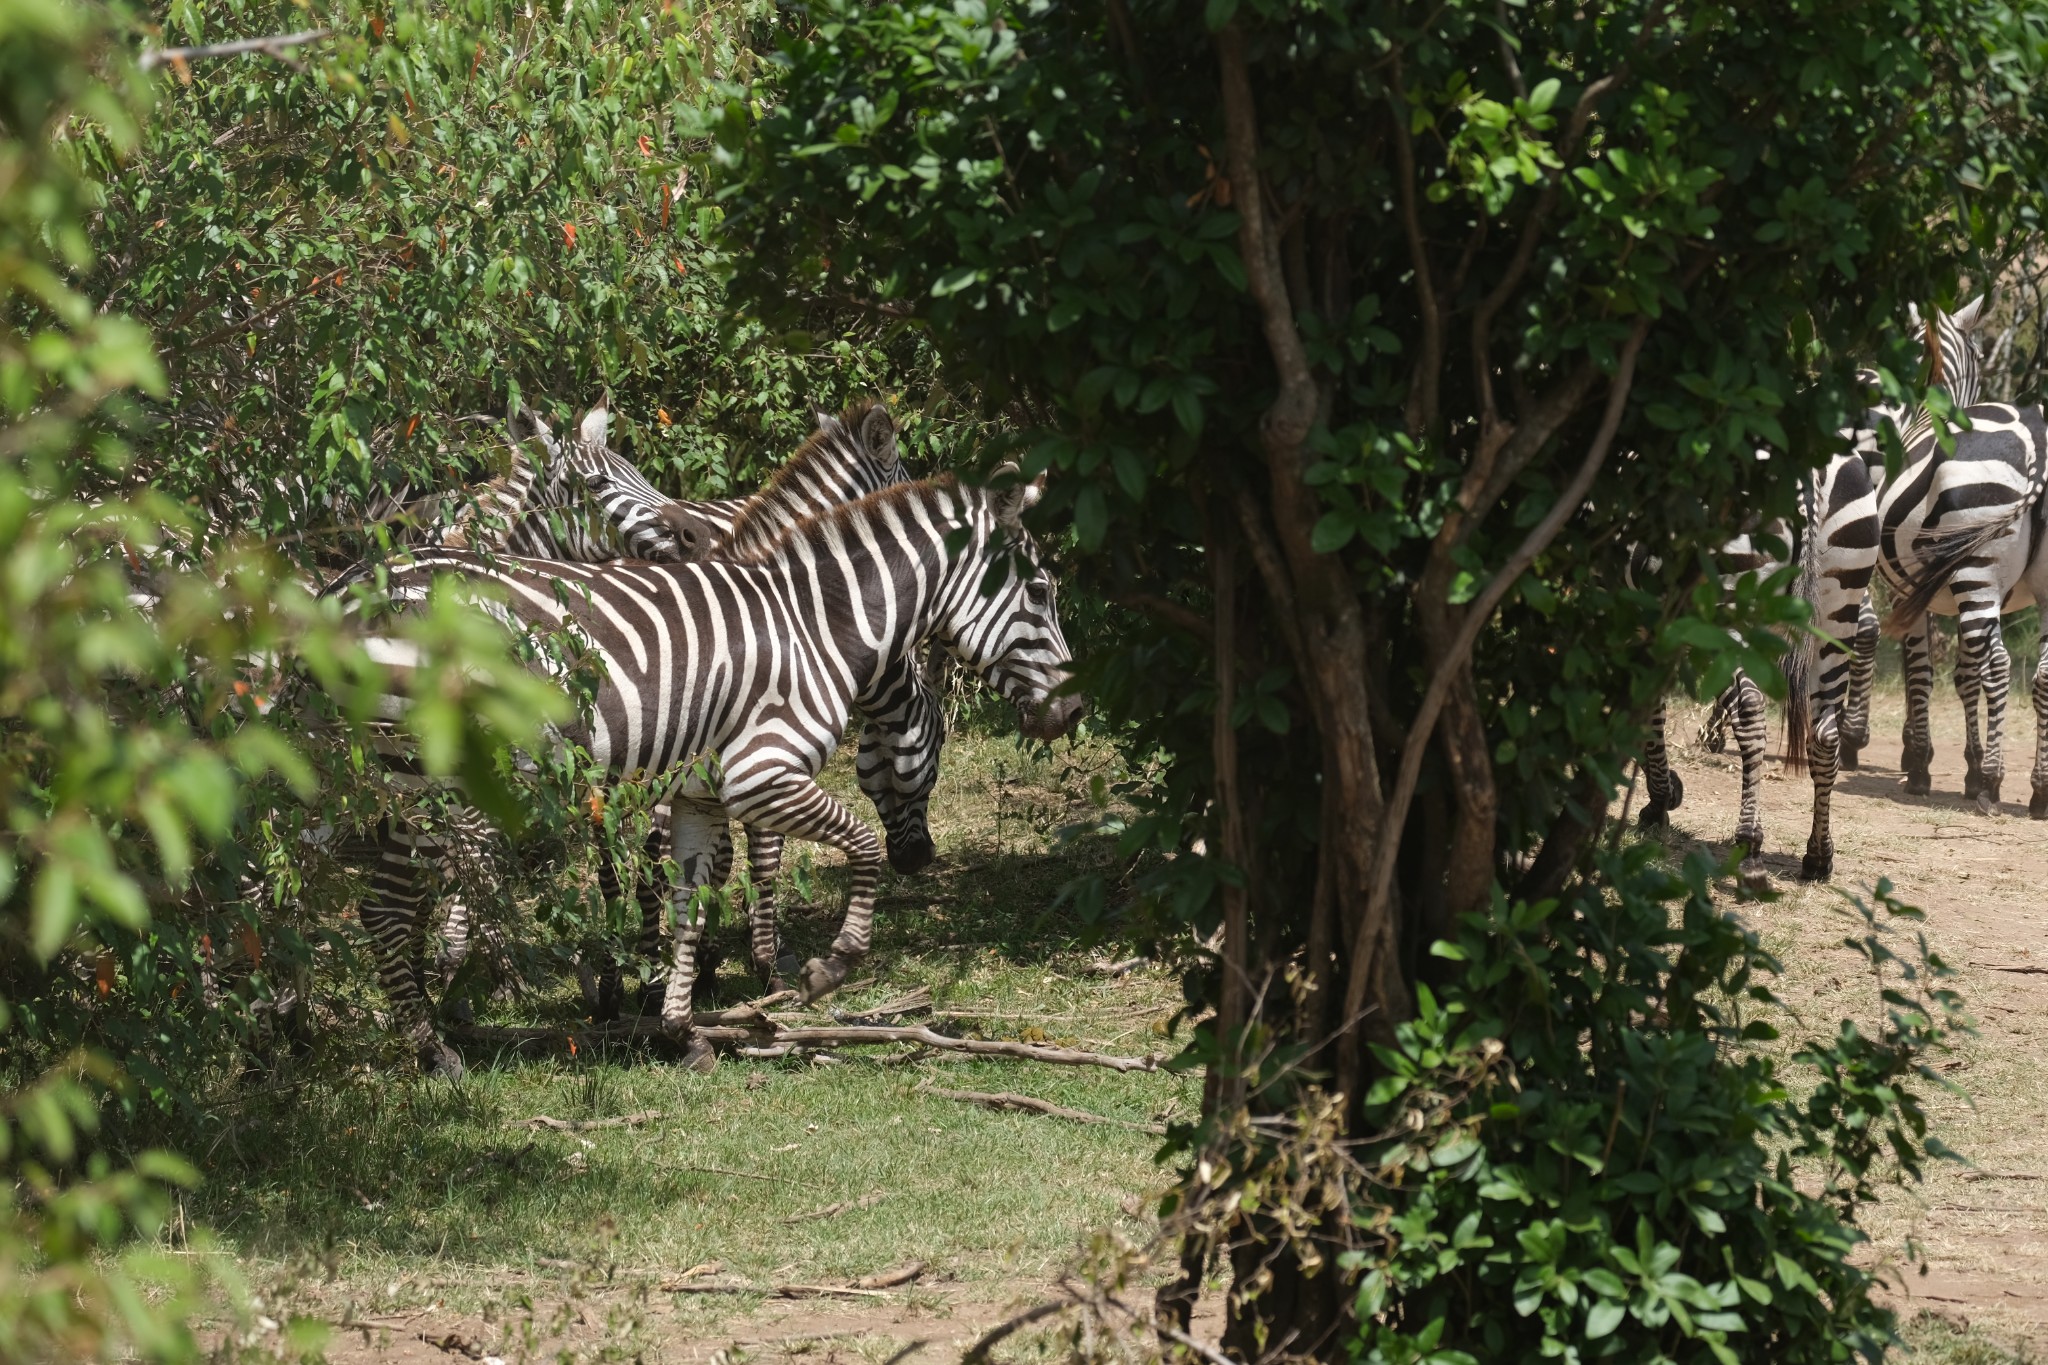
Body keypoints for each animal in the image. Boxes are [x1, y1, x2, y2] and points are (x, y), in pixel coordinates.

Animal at [342, 472, 1081, 1080]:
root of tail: (346, 590)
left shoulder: (700, 797)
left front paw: (681, 1031)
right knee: (384, 908)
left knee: (390, 903)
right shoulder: (761, 774)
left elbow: (689, 905)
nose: (1073, 710)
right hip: (431, 780)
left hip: (397, 782)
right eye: (1041, 591)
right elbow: (858, 844)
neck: (819, 627)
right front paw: (826, 967)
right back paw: (432, 1048)